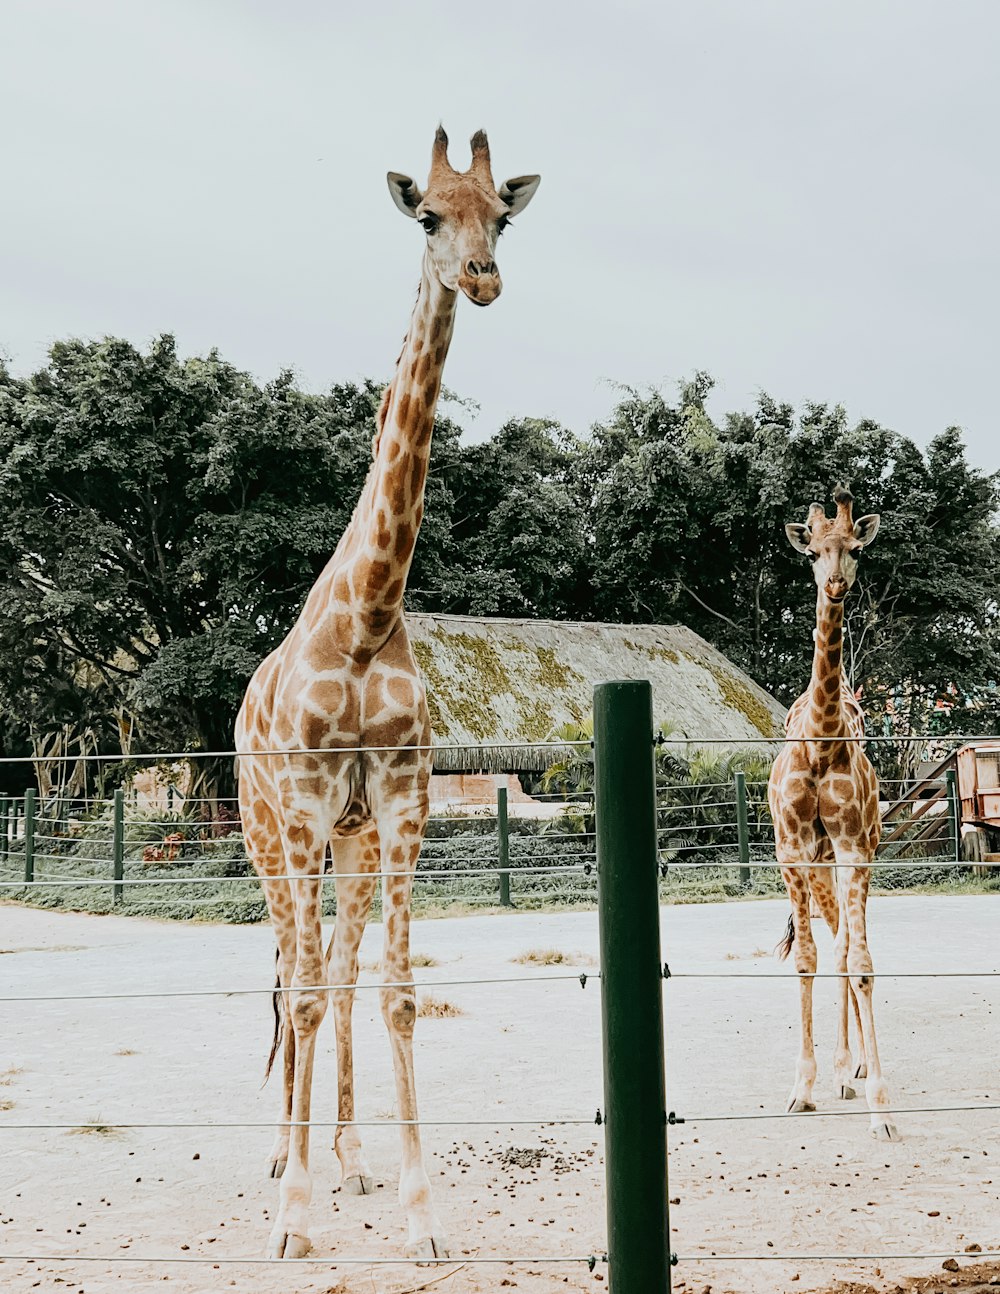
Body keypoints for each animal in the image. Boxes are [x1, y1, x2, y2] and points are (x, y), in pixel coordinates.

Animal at [234, 126, 538, 1257]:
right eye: (427, 217)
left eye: (502, 216)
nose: (482, 276)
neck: (366, 621)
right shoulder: (306, 806)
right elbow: (306, 993)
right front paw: (291, 1219)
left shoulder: (401, 804)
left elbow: (397, 992)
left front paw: (417, 1213)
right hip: (268, 831)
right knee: (294, 970)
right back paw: (284, 1161)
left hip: (351, 844)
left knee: (337, 965)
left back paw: (347, 1157)